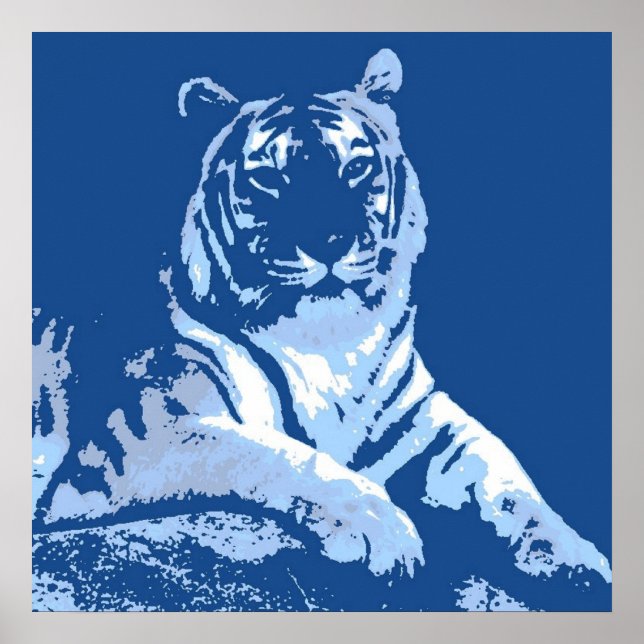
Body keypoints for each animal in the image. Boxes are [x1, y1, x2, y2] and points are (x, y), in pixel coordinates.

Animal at [32, 48, 610, 609]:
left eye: (356, 167)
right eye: (268, 177)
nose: (329, 240)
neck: (329, 344)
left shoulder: (425, 419)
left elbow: (508, 475)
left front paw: (574, 557)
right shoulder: (151, 430)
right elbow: (281, 455)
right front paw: (385, 532)